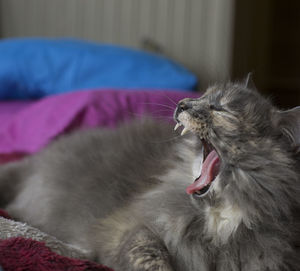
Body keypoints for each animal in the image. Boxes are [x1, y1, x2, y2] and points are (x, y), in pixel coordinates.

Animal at [0, 79, 300, 270]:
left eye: (220, 108)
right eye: (202, 97)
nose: (182, 103)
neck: (221, 218)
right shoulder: (133, 228)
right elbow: (150, 256)